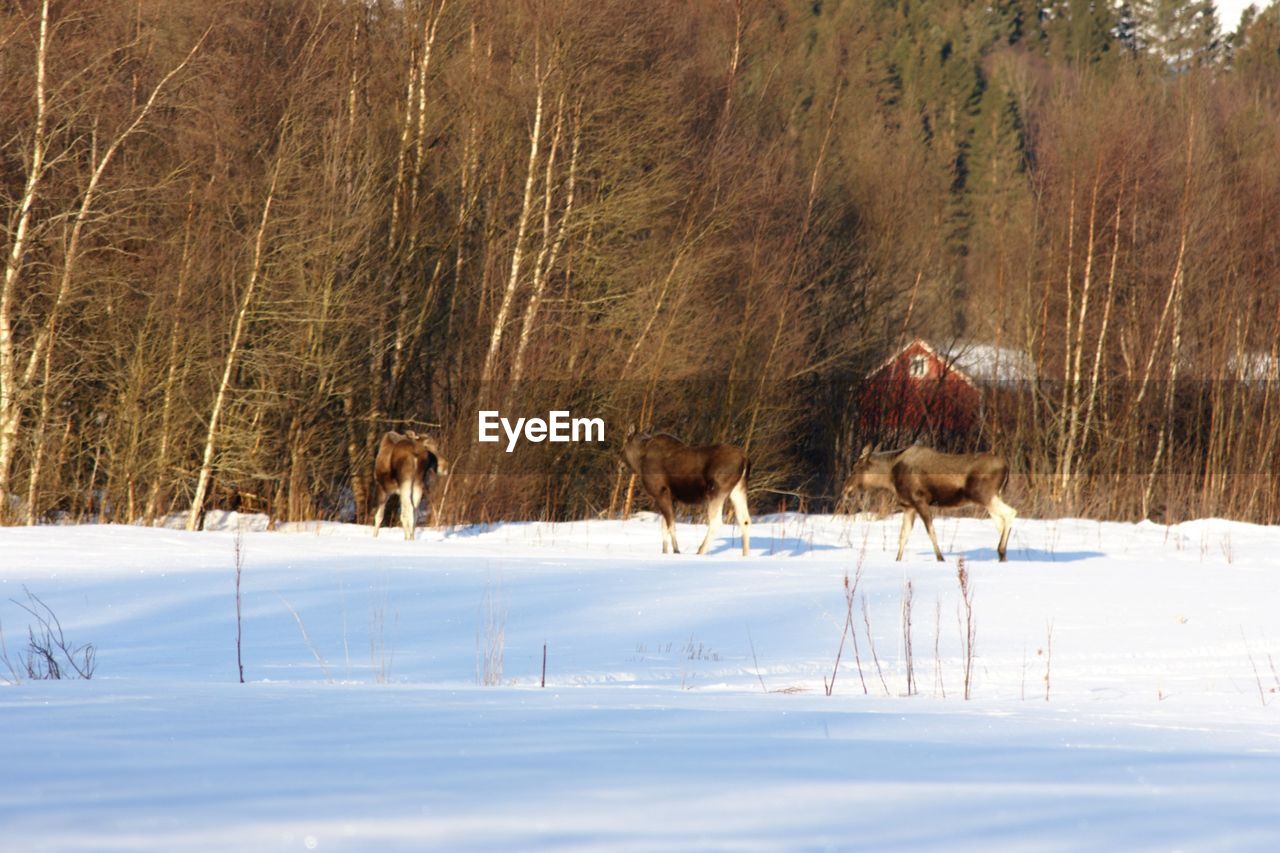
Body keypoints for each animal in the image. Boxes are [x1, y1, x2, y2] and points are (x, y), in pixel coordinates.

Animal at [619, 427, 747, 555]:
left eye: (625, 443)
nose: (620, 464)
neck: (639, 462)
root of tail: (745, 459)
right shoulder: (672, 497)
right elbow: (664, 526)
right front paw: (665, 552)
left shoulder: (661, 493)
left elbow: (671, 524)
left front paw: (676, 550)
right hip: (737, 490)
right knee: (745, 520)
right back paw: (745, 554)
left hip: (717, 492)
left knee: (716, 522)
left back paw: (700, 551)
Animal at [844, 440, 1013, 560]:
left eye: (855, 468)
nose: (846, 490)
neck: (890, 476)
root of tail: (1007, 466)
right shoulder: (908, 507)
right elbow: (903, 536)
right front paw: (897, 560)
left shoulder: (920, 502)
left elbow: (930, 531)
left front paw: (941, 558)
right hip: (993, 498)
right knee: (1002, 523)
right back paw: (1003, 556)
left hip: (985, 496)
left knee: (1011, 513)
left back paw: (1001, 550)